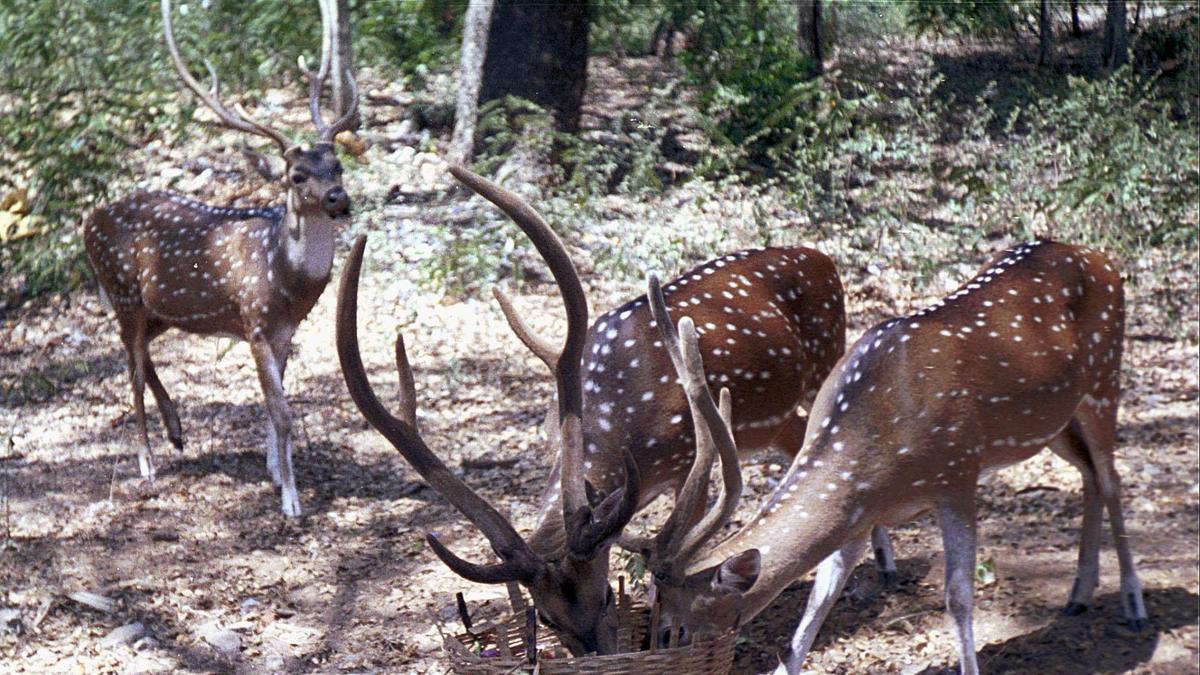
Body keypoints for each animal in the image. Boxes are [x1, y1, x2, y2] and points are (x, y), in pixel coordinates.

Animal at [82, 0, 357, 518]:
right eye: (296, 175)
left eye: (338, 166)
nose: (338, 198)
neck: (284, 279)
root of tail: (89, 221)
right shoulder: (253, 321)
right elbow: (282, 411)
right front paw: (291, 501)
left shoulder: (284, 330)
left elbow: (275, 406)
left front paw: (275, 473)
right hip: (122, 290)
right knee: (130, 368)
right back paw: (147, 462)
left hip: (159, 309)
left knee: (140, 353)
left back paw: (176, 431)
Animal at [638, 240, 1148, 675]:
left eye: (675, 625)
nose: (659, 650)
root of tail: (1103, 258)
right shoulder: (859, 515)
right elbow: (820, 599)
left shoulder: (958, 473)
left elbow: (958, 597)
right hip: (1056, 422)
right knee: (1089, 476)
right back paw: (1078, 595)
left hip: (1104, 380)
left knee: (1112, 478)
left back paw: (1135, 607)